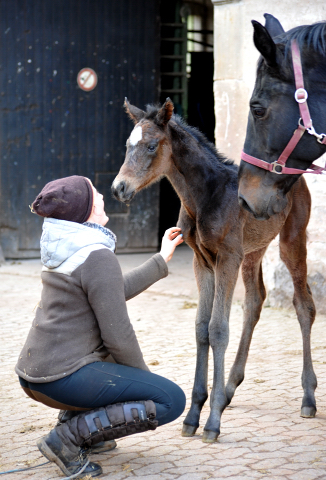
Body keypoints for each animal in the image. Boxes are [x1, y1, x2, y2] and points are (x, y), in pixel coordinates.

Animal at [111, 99, 316, 444]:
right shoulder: (203, 262)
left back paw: (308, 397)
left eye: (151, 146)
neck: (205, 196)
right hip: (253, 251)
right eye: (127, 145)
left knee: (304, 306)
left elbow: (218, 329)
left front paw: (213, 420)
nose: (118, 188)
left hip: (291, 240)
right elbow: (200, 328)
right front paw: (194, 414)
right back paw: (231, 387)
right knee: (255, 301)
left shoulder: (226, 259)